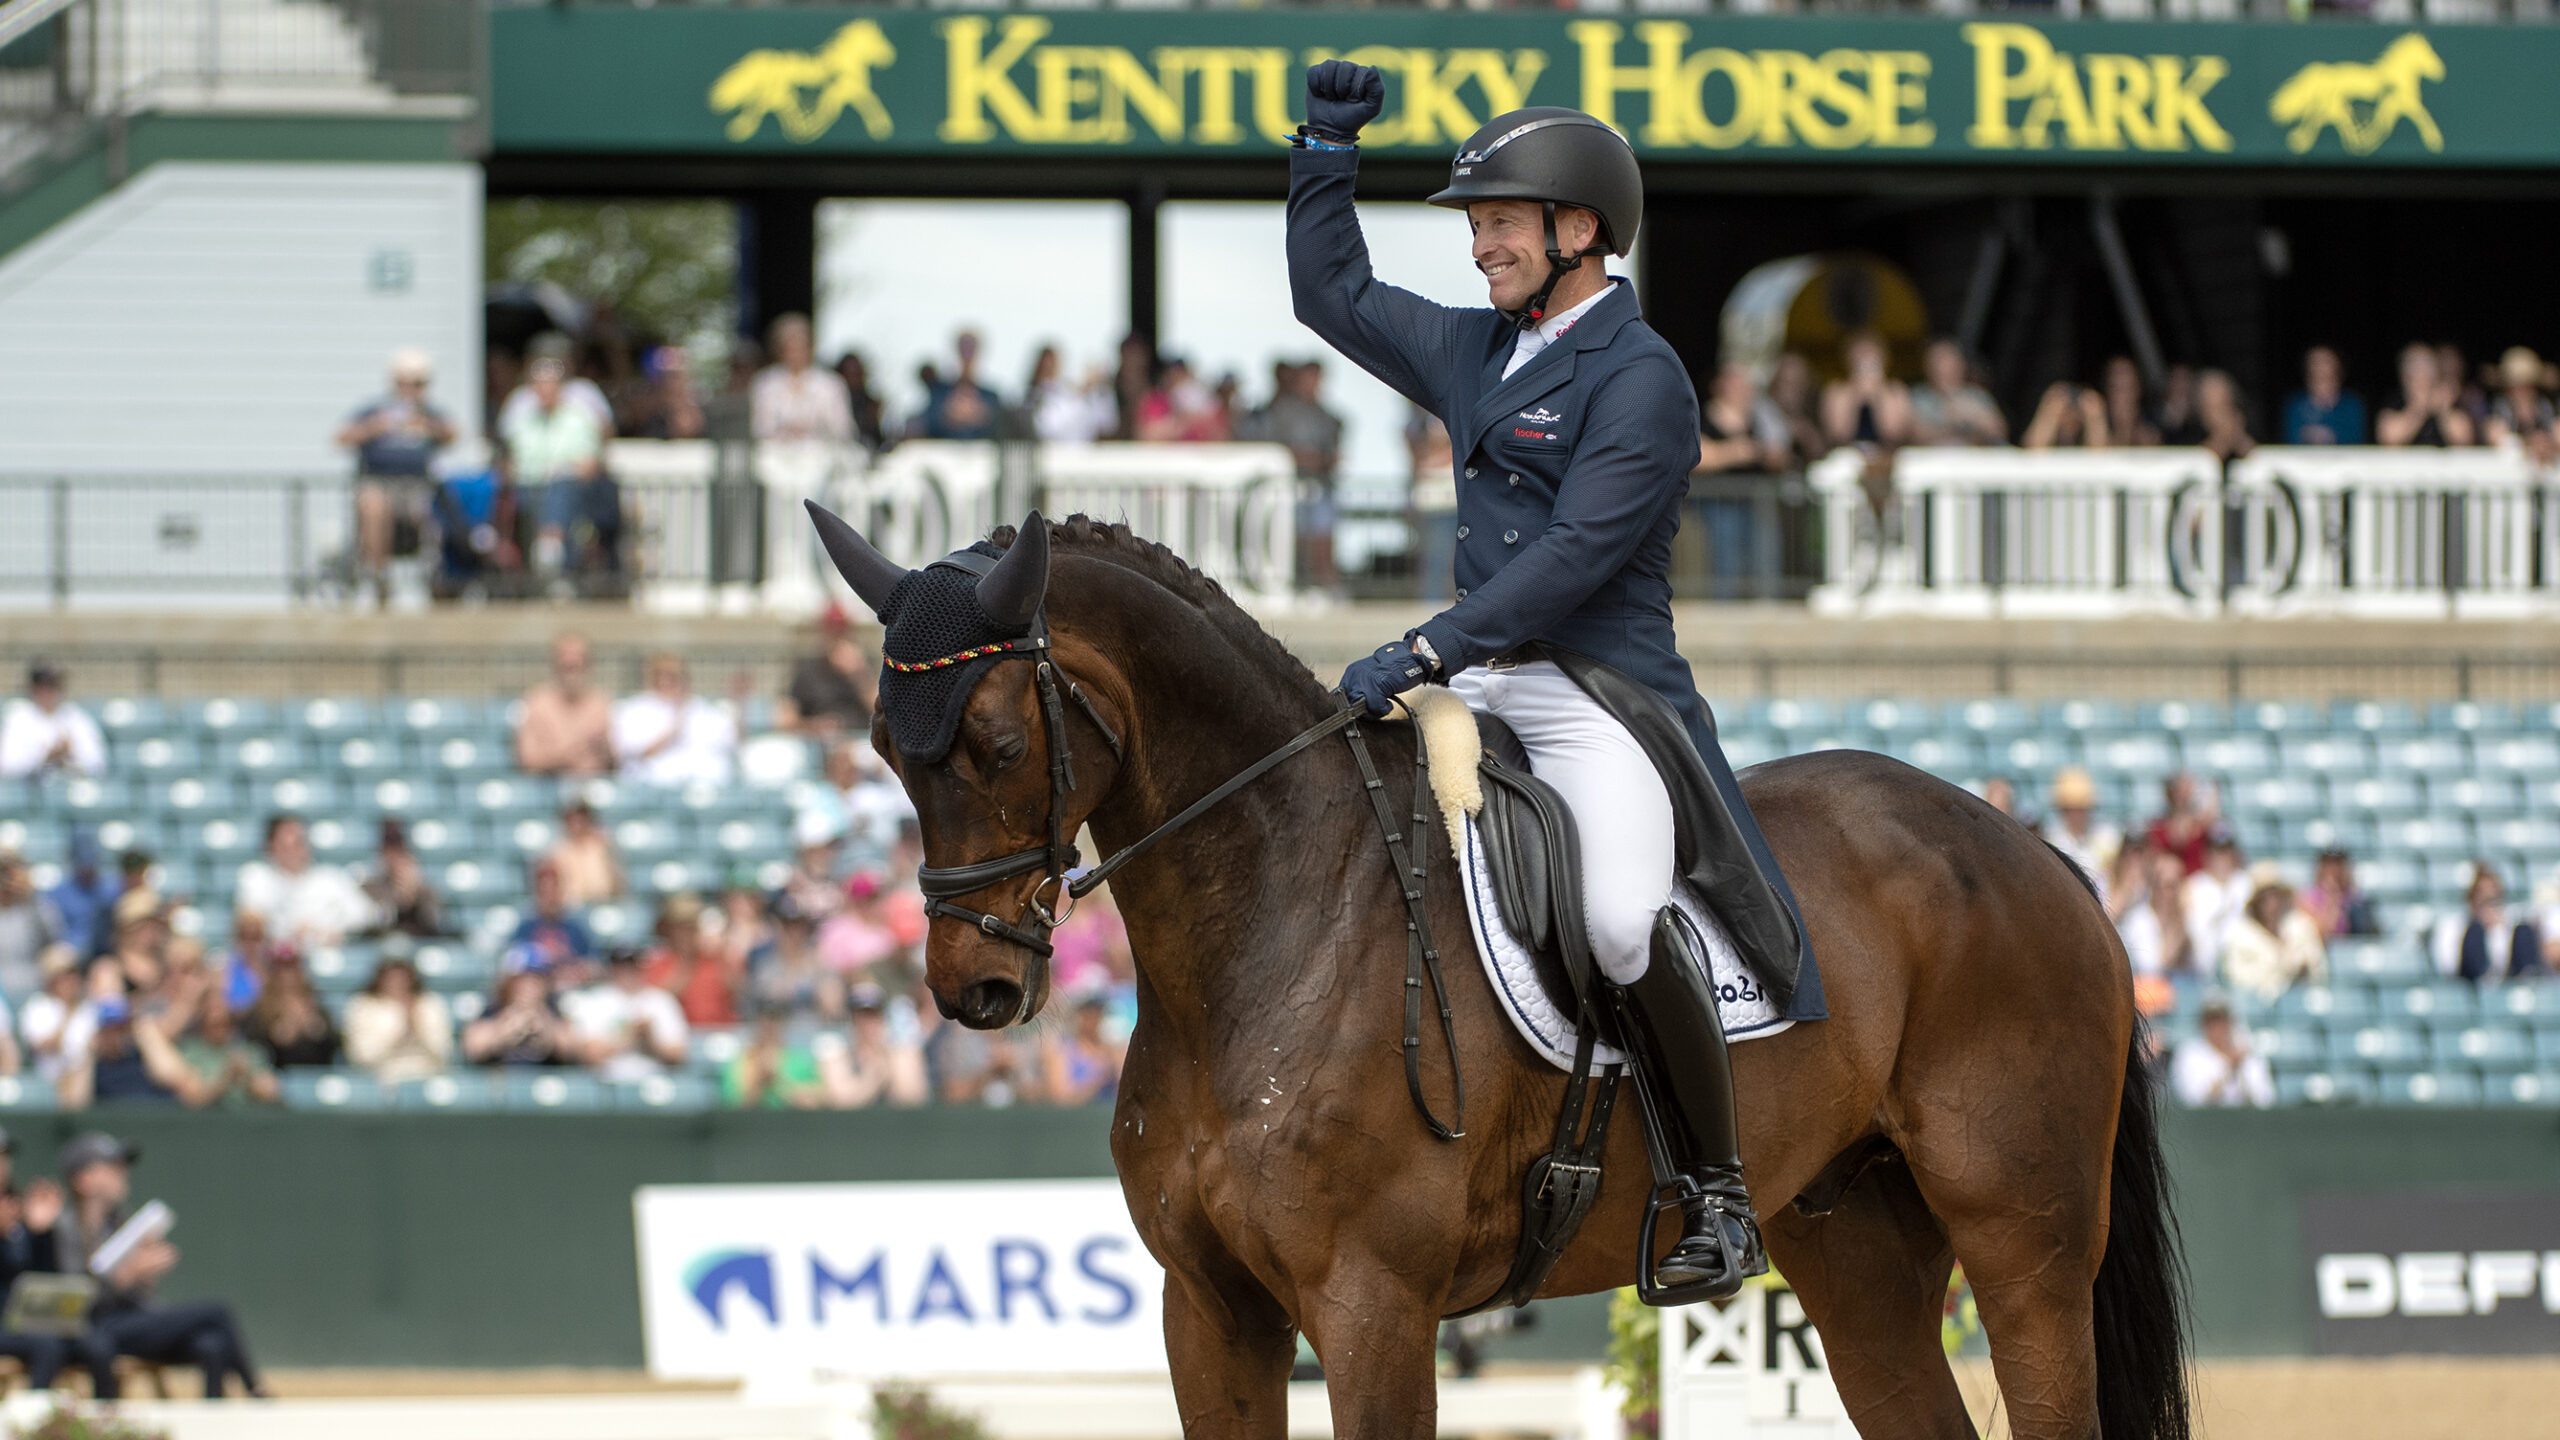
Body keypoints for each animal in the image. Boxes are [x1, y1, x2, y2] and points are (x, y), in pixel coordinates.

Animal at [819, 511, 2189, 1440]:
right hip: (1854, 1254)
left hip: (2023, 1242)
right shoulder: (1209, 1309)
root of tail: (2027, 844)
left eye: (998, 744)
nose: (974, 990)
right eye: (883, 748)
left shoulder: (1370, 1306)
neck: (1277, 925)